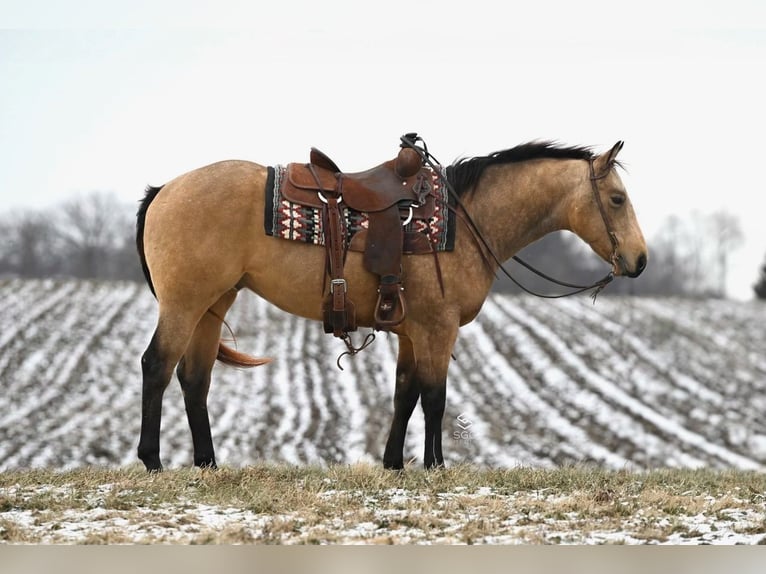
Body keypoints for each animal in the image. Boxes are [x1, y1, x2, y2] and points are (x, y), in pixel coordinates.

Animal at [136, 135, 648, 472]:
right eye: (617, 199)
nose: (640, 260)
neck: (465, 222)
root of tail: (164, 190)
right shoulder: (438, 329)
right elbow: (436, 398)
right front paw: (435, 465)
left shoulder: (410, 332)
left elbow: (406, 395)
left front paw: (394, 463)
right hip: (184, 304)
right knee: (157, 366)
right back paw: (153, 460)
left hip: (213, 305)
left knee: (194, 379)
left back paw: (207, 463)